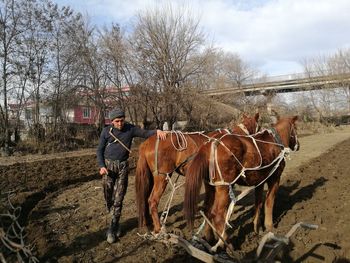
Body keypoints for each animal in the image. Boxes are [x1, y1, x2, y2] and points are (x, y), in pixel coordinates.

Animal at [182, 116, 300, 252]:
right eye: (296, 128)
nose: (298, 145)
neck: (274, 142)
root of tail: (209, 144)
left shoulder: (260, 182)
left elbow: (258, 203)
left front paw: (257, 228)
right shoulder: (275, 178)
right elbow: (269, 203)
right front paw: (270, 227)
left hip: (210, 186)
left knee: (207, 210)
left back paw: (209, 239)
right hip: (223, 187)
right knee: (217, 215)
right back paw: (227, 244)